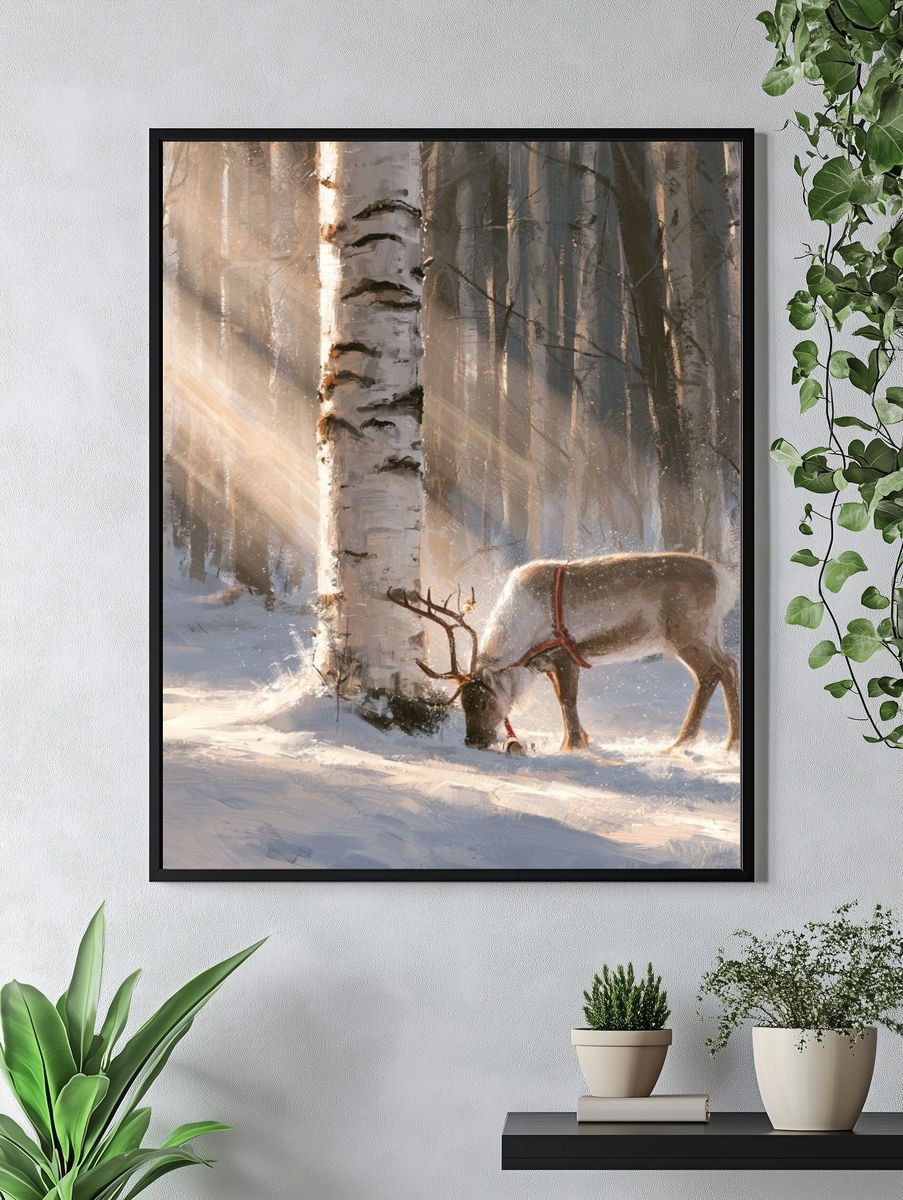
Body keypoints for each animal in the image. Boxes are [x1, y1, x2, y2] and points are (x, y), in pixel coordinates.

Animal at [388, 553, 739, 755]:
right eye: (463, 702)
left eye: (485, 702)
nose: (473, 741)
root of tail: (726, 579)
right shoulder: (546, 663)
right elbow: (561, 700)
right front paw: (581, 739)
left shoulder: (564, 655)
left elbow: (567, 700)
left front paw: (570, 746)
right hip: (709, 633)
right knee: (729, 665)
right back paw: (728, 743)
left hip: (686, 633)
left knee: (712, 671)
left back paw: (685, 743)